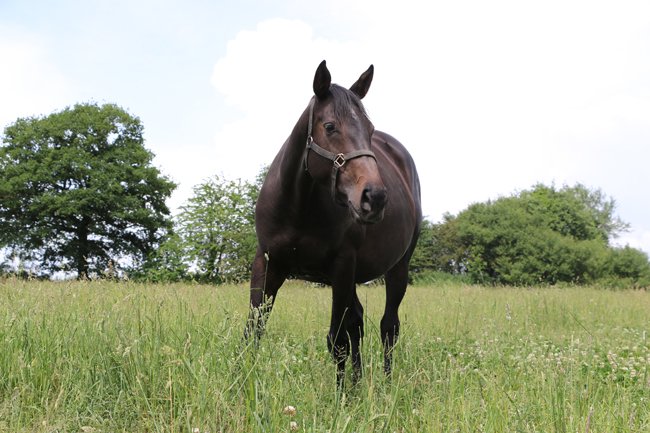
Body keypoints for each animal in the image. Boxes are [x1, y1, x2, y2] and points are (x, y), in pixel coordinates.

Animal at [246, 60, 422, 386]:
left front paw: (341, 397)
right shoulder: (267, 262)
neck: (298, 206)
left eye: (370, 130)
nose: (375, 197)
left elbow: (337, 341)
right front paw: (243, 385)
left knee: (388, 327)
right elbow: (254, 330)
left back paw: (386, 385)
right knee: (358, 323)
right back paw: (358, 381)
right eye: (329, 127)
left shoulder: (342, 266)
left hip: (397, 269)